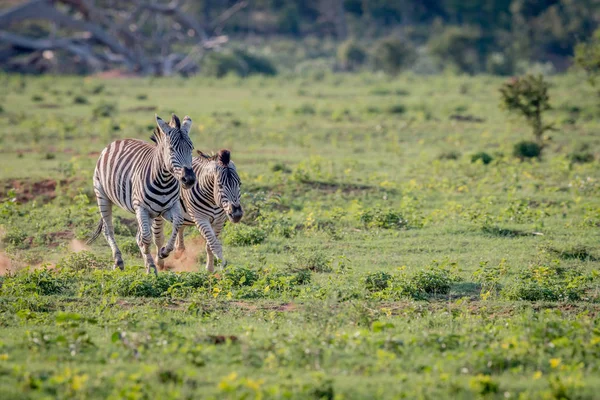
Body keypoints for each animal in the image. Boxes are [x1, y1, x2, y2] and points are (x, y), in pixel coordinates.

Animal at [88, 114, 196, 274]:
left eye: (191, 148)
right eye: (171, 149)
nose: (189, 179)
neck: (164, 181)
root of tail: (119, 140)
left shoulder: (168, 208)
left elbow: (176, 224)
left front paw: (164, 252)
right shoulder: (141, 208)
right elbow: (145, 239)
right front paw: (150, 265)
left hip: (150, 213)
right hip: (102, 195)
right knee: (109, 230)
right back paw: (118, 262)